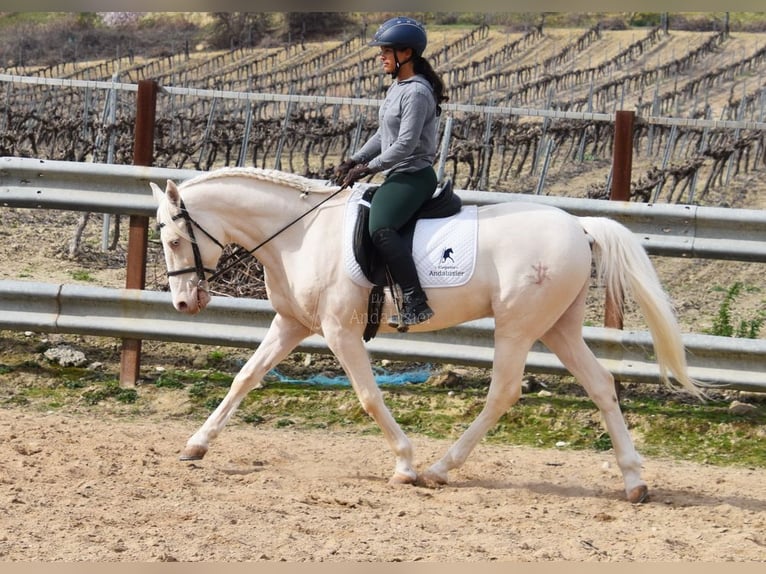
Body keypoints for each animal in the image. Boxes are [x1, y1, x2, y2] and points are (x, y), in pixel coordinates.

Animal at [148, 166, 704, 504]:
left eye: (174, 239)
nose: (183, 304)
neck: (298, 235)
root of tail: (579, 227)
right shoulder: (292, 324)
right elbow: (245, 377)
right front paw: (196, 445)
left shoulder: (339, 332)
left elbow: (369, 397)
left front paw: (405, 464)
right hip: (557, 326)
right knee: (601, 385)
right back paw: (634, 482)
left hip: (519, 326)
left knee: (504, 392)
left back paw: (438, 468)